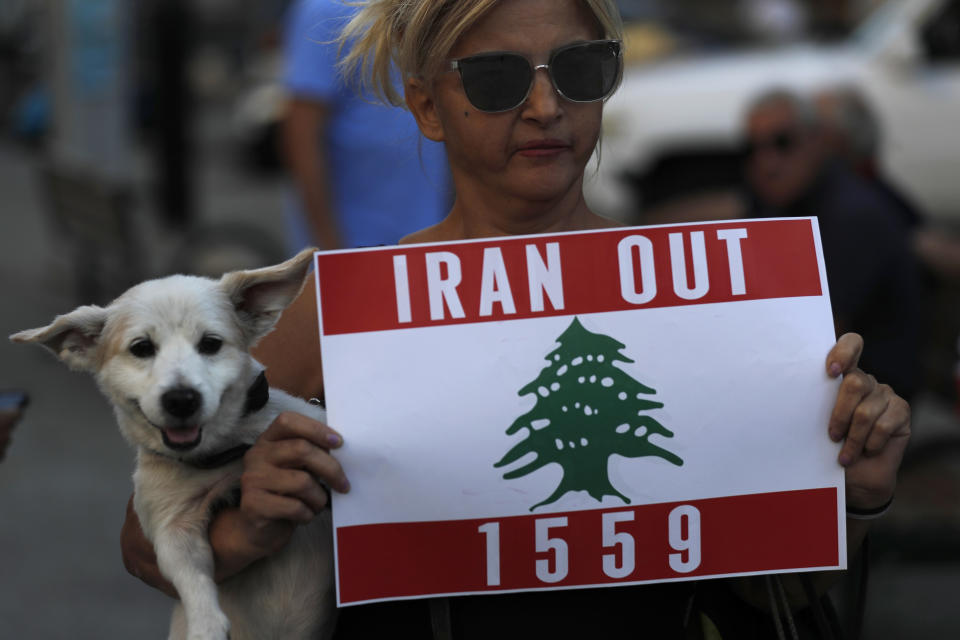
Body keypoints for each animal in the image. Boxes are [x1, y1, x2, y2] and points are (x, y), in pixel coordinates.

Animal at [11, 249, 338, 640]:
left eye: (211, 343)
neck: (225, 450)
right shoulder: (171, 528)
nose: (181, 399)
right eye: (141, 348)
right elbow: (190, 577)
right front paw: (206, 624)